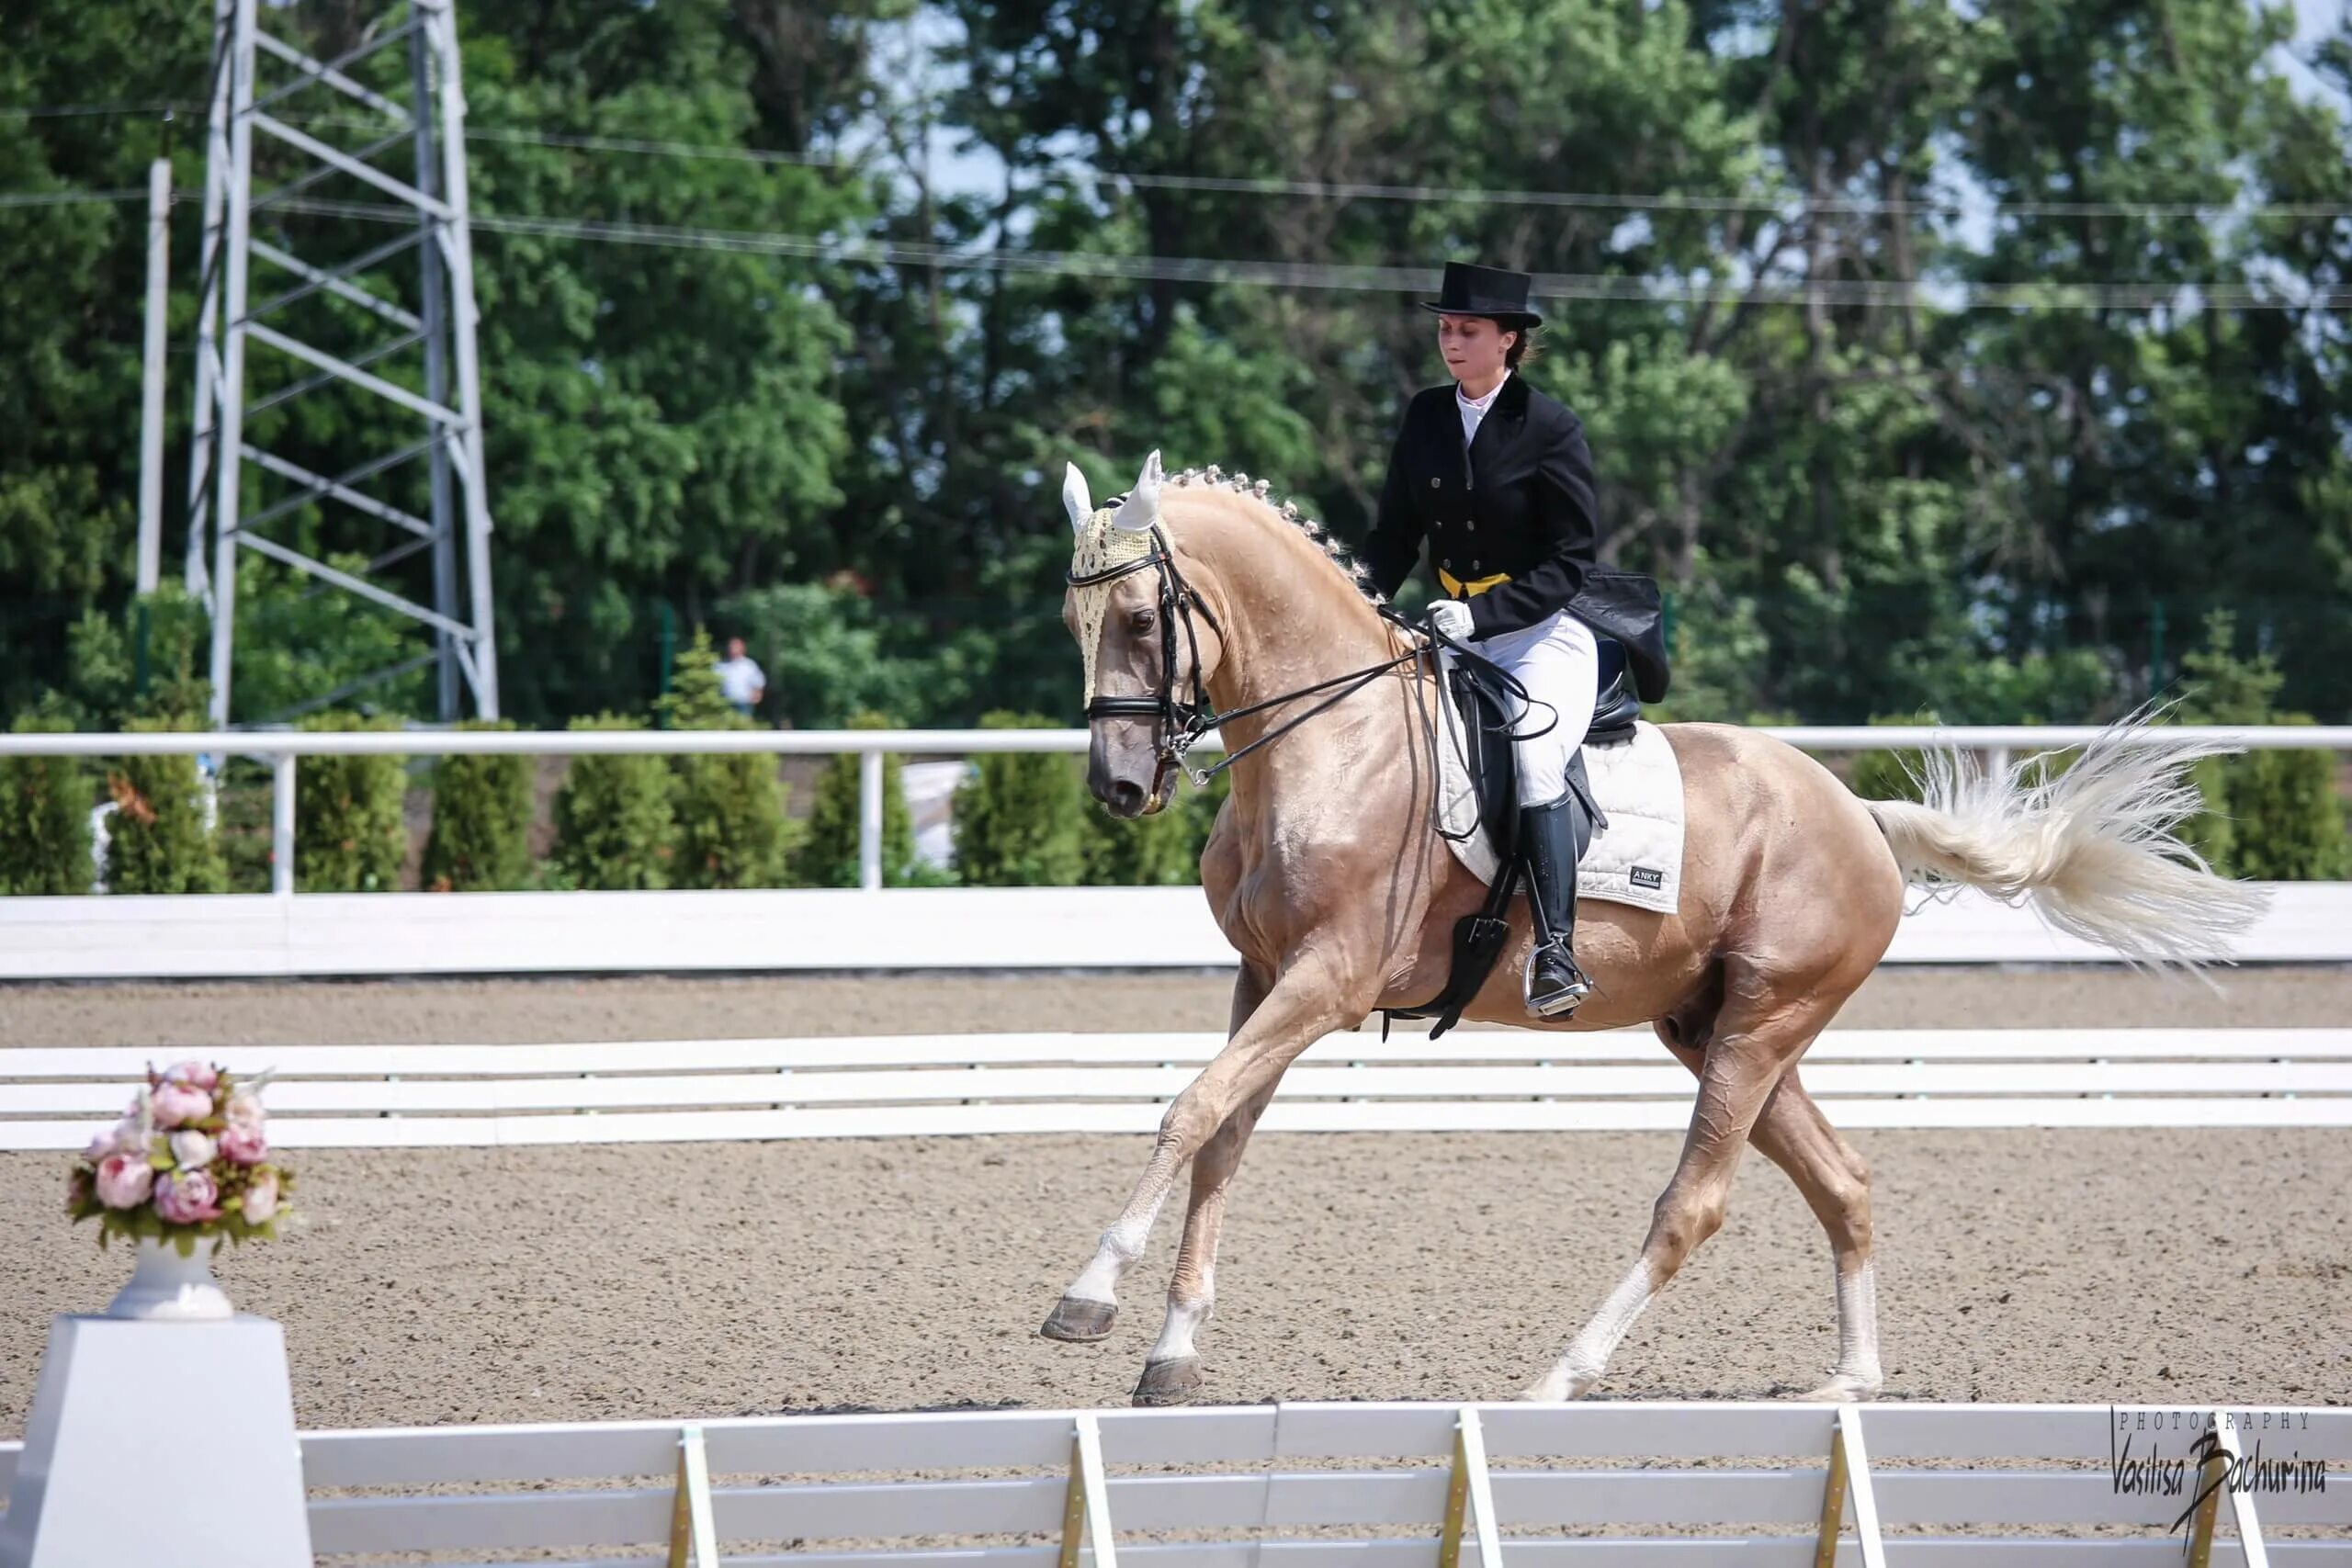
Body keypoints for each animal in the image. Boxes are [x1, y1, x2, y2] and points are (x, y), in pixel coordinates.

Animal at [1039, 446, 2267, 1401]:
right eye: (1073, 621)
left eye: (1141, 618)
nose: (1117, 789)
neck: (1332, 742)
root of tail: (1857, 813)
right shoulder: (1264, 978)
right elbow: (1220, 1136)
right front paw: (1171, 1351)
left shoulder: (1327, 981)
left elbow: (1191, 1110)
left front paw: (1087, 1298)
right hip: (1714, 1027)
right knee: (1842, 1180)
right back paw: (1850, 1380)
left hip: (1763, 1024)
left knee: (1695, 1207)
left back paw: (1557, 1378)